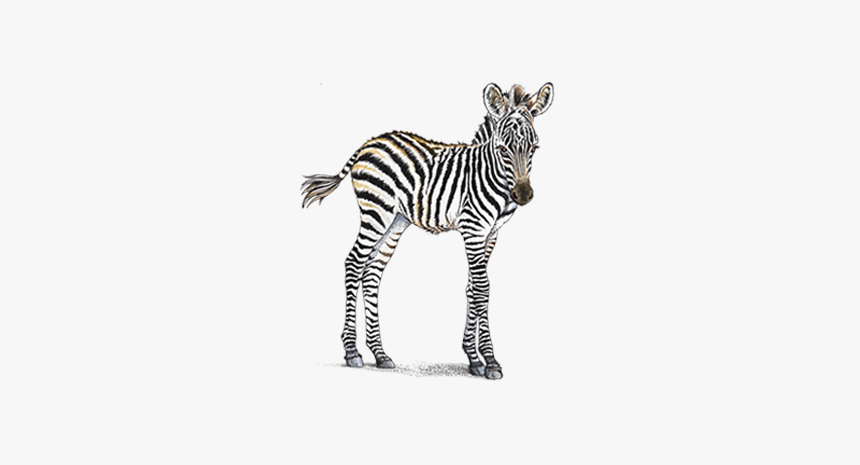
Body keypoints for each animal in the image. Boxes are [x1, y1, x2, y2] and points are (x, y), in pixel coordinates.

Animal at [302, 83, 554, 379]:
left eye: (534, 148)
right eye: (503, 149)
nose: (523, 195)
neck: (489, 174)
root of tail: (369, 143)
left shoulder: (491, 235)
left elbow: (471, 287)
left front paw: (473, 358)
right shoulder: (473, 229)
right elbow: (482, 288)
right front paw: (490, 361)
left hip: (396, 221)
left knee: (372, 273)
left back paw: (380, 353)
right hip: (376, 211)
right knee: (353, 263)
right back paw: (352, 351)